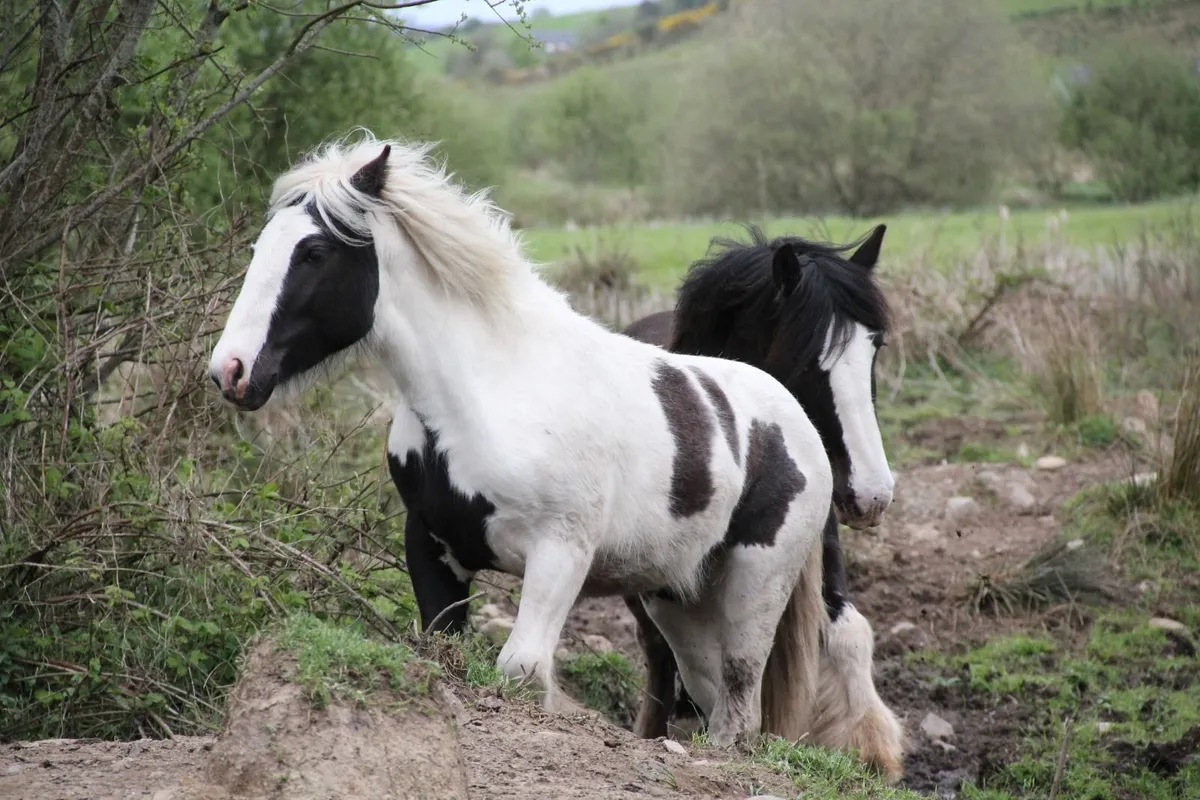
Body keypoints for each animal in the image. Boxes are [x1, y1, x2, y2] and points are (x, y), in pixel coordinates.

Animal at [208, 133, 835, 747]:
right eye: (258, 248)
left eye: (314, 252)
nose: (229, 371)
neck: (493, 391)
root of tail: (797, 418)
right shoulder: (432, 547)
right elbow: (442, 647)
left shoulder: (560, 554)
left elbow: (520, 671)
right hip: (677, 596)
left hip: (755, 585)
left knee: (739, 705)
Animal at [621, 225, 906, 781]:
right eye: (806, 357)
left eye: (875, 349)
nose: (872, 496)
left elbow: (847, 632)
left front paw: (869, 749)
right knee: (660, 658)